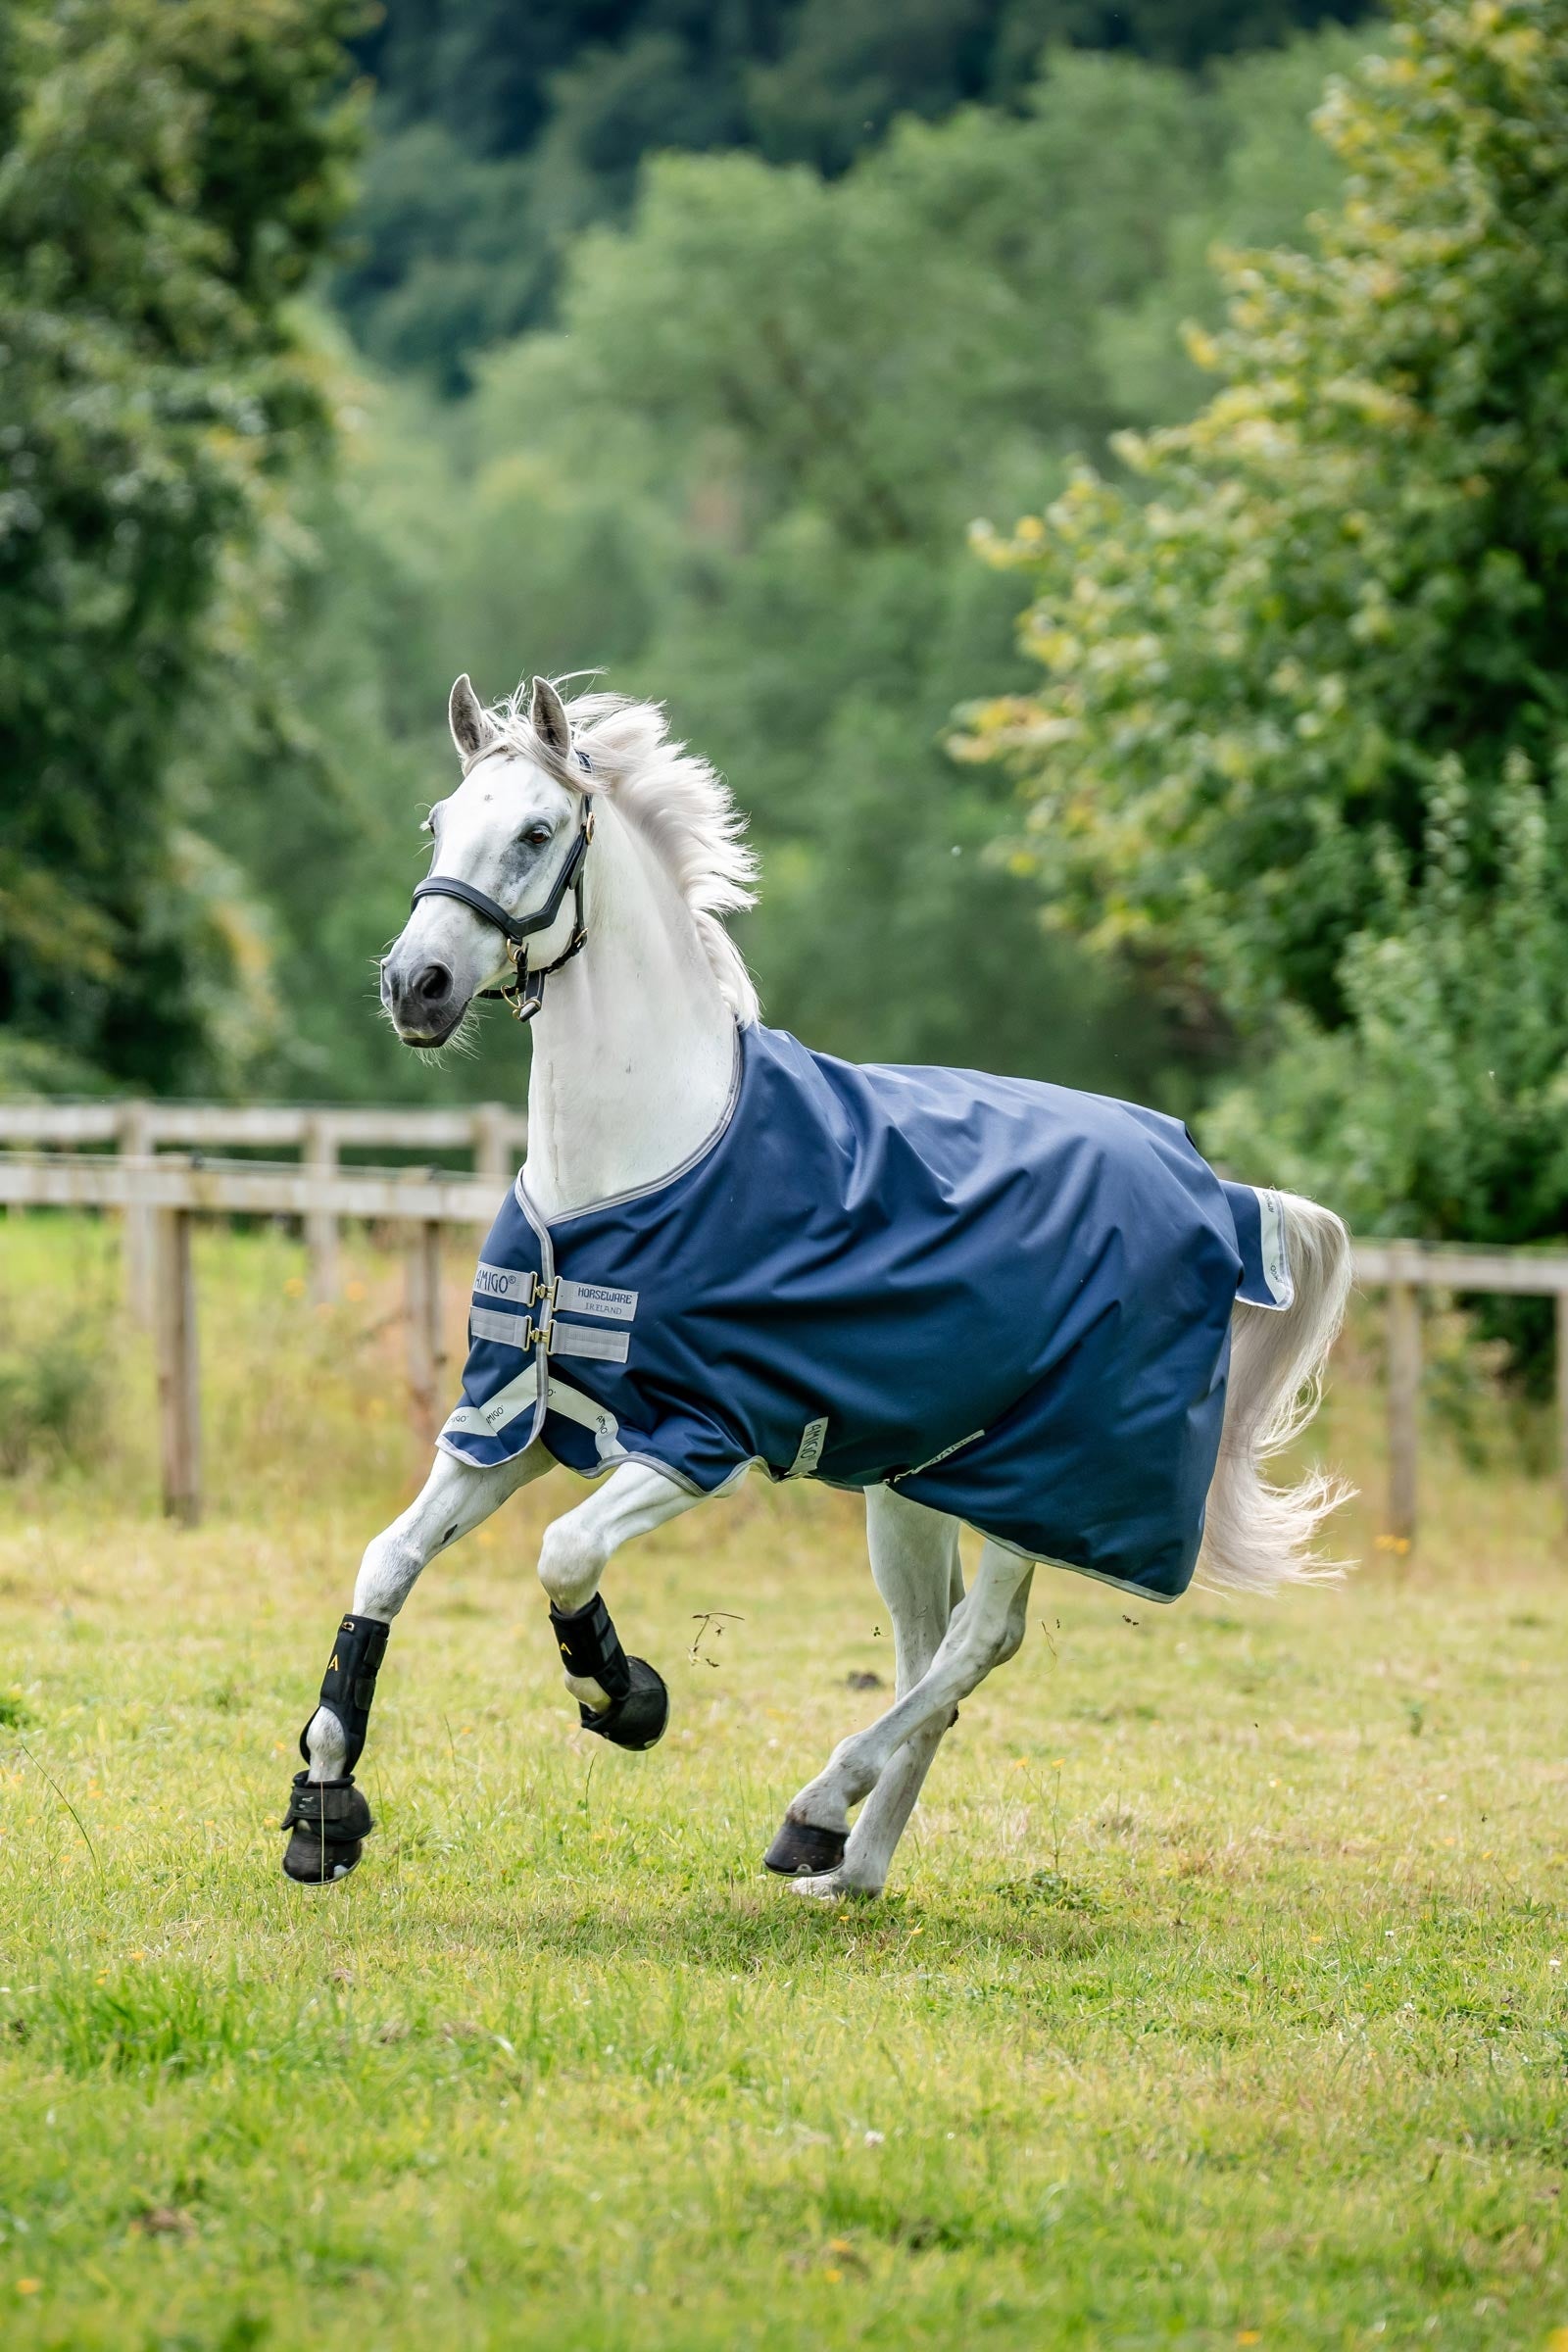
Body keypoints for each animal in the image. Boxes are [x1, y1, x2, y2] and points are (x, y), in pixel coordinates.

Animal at [279, 674, 1352, 1894]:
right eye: (440, 823)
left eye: (538, 832)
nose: (415, 985)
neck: (634, 1160)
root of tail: (1208, 1183)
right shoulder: (511, 1417)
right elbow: (387, 1562)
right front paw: (324, 1803)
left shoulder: (698, 1436)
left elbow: (565, 1555)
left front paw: (626, 1698)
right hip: (917, 1487)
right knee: (930, 1654)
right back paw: (847, 1865)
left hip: (1046, 1488)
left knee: (975, 1645)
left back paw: (817, 1806)